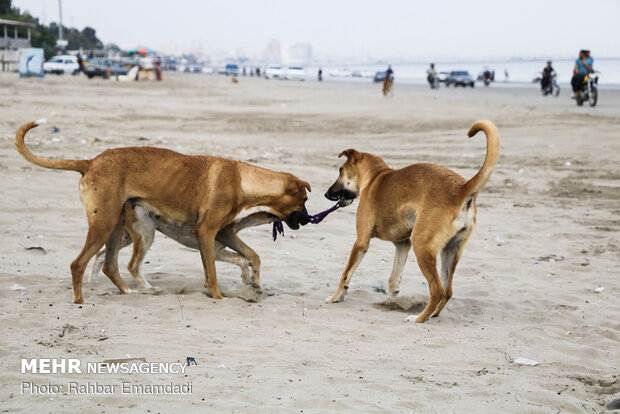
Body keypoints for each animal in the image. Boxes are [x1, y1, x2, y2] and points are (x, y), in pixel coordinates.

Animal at [15, 119, 310, 304]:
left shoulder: (224, 233)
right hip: (110, 225)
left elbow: (251, 256)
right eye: (305, 199)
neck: (242, 179)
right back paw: (80, 300)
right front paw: (218, 296)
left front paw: (254, 282)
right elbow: (213, 272)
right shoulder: (207, 234)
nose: (308, 220)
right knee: (82, 263)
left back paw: (130, 291)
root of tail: (91, 162)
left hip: (118, 227)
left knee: (110, 264)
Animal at [324, 119, 498, 324]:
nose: (326, 194)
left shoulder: (361, 242)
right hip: (450, 251)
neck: (375, 176)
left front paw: (336, 297)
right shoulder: (402, 245)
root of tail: (461, 189)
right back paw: (432, 314)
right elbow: (393, 281)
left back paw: (419, 318)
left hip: (422, 246)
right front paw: (391, 301)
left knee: (437, 290)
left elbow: (346, 274)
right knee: (447, 291)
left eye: (340, 170)